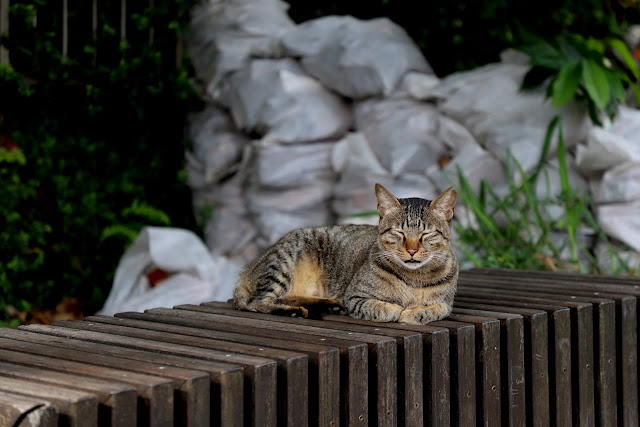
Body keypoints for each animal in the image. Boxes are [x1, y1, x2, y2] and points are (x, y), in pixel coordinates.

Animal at [232, 184, 458, 324]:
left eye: (426, 234)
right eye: (398, 232)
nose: (411, 250)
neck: (414, 279)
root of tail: (247, 267)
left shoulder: (447, 304)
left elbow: (436, 309)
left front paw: (414, 313)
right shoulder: (356, 297)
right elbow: (386, 308)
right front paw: (400, 311)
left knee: (289, 296)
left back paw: (329, 305)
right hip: (282, 265)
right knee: (259, 302)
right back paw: (294, 311)